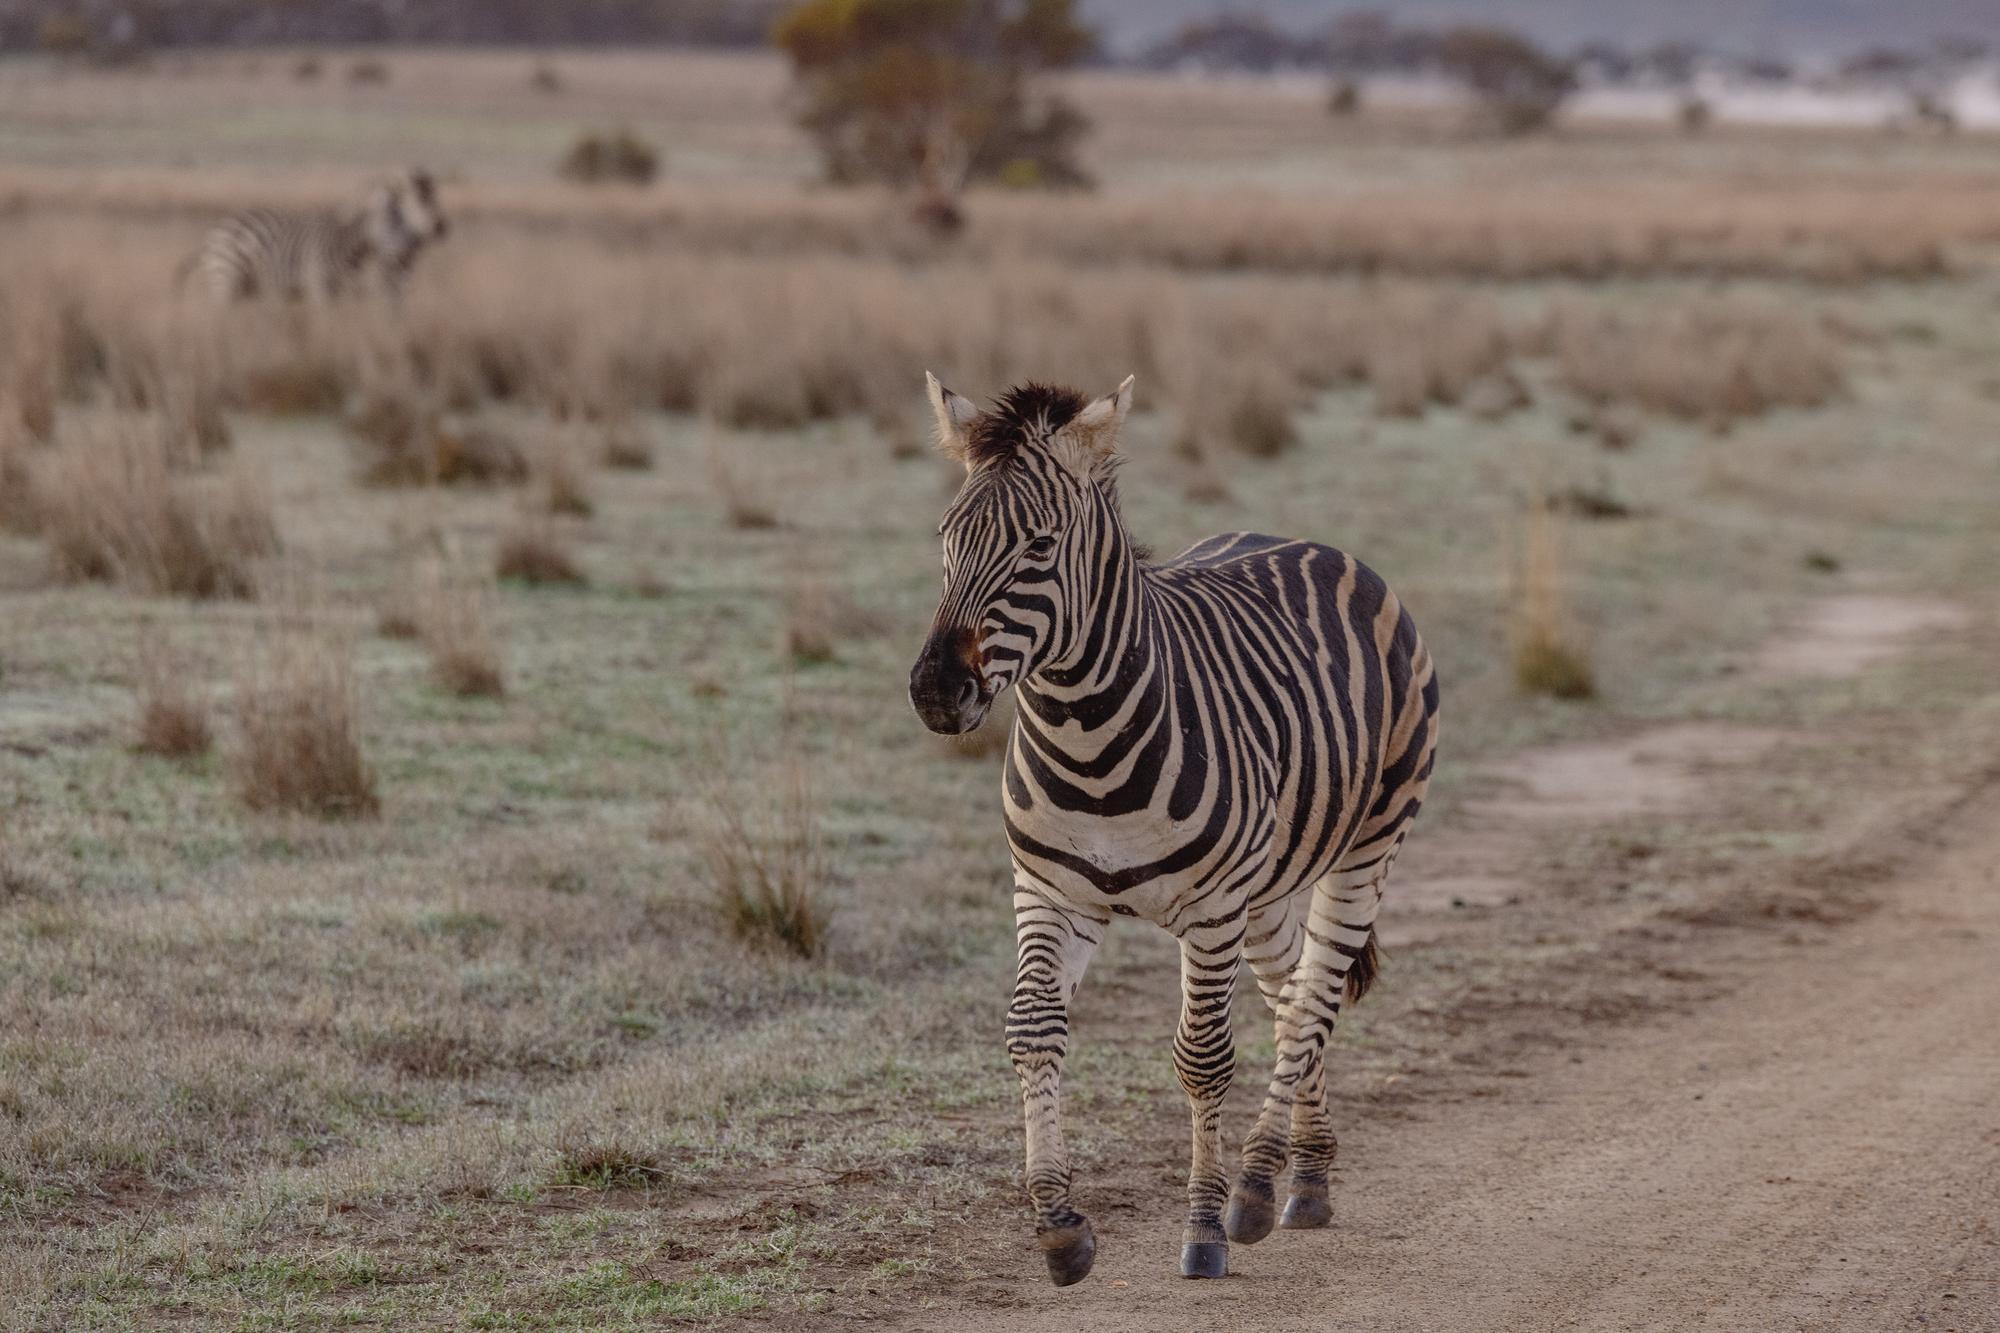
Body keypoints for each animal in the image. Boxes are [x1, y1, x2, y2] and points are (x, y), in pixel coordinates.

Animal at [176, 169, 449, 303]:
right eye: (418, 202)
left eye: (435, 199)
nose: (442, 228)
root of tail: (215, 231)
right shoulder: (321, 286)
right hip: (226, 277)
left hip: (247, 285)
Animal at [908, 374, 1440, 1284]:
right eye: (947, 534)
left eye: (1040, 546)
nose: (937, 690)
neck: (1085, 736)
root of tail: (1312, 543)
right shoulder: (1046, 891)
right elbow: (1032, 1032)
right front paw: (1058, 1225)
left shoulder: (1212, 907)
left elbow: (1202, 1056)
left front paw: (1202, 1227)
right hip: (1268, 885)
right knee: (1292, 991)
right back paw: (1304, 1175)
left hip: (1366, 847)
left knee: (1314, 997)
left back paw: (1254, 1187)